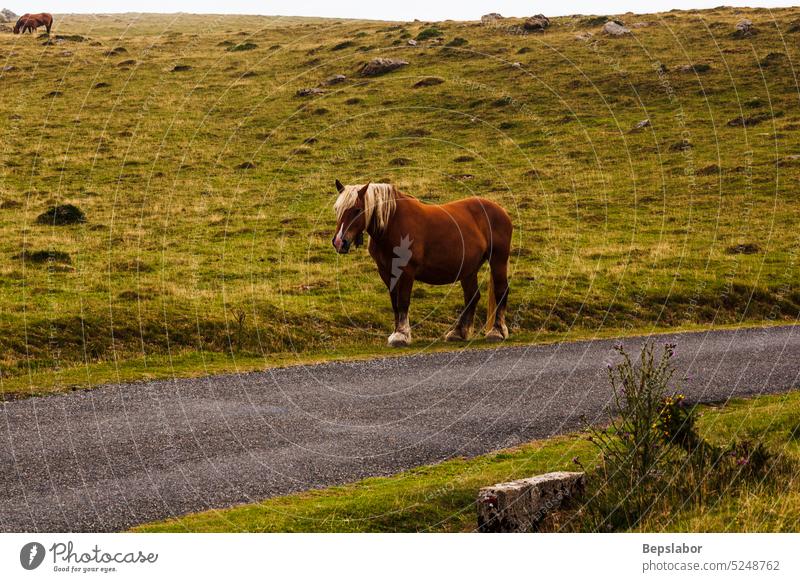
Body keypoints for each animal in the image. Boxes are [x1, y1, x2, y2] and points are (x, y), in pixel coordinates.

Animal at [332, 181, 512, 346]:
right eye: (337, 209)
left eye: (357, 210)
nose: (339, 242)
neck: (393, 223)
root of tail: (501, 211)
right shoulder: (386, 272)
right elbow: (395, 303)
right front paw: (396, 332)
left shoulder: (406, 270)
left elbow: (403, 301)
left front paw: (401, 335)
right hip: (469, 268)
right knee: (471, 296)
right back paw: (458, 333)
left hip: (498, 260)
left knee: (501, 290)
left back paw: (497, 331)